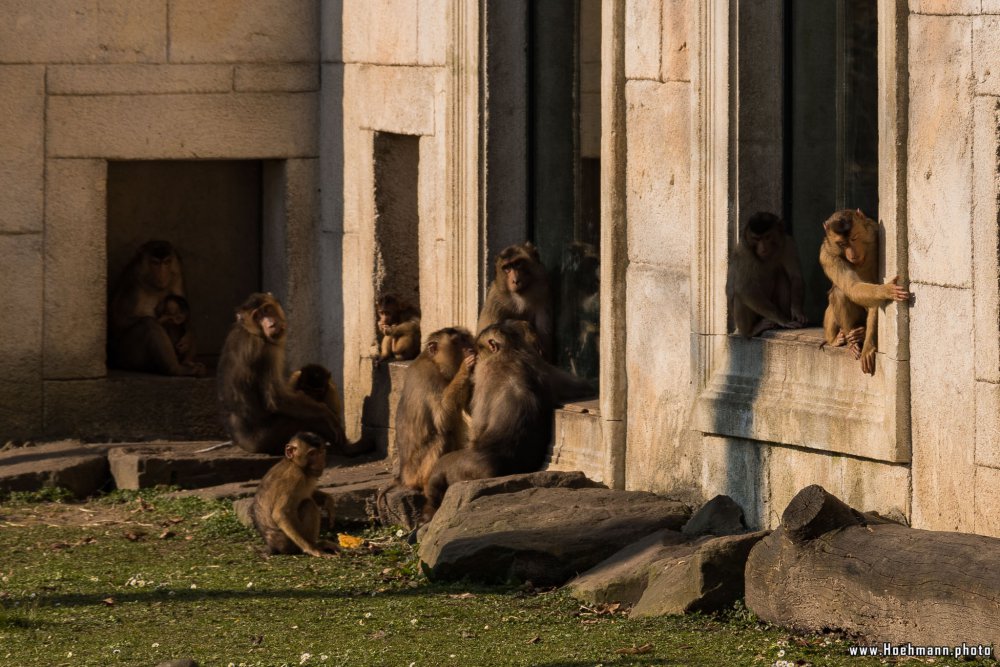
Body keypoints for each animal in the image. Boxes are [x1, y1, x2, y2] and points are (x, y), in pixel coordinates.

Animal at [108, 240, 204, 376]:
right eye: (155, 263)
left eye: (167, 262)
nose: (162, 275)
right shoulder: (132, 282)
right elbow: (119, 321)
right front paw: (164, 318)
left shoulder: (177, 275)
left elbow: (185, 311)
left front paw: (189, 336)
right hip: (125, 355)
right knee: (149, 323)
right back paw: (177, 369)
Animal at [820, 209, 916, 376]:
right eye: (842, 244)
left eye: (854, 238)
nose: (851, 254)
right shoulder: (827, 255)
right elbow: (852, 287)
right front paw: (885, 290)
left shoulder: (876, 239)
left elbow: (874, 302)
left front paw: (868, 346)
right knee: (840, 291)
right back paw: (849, 341)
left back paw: (861, 334)